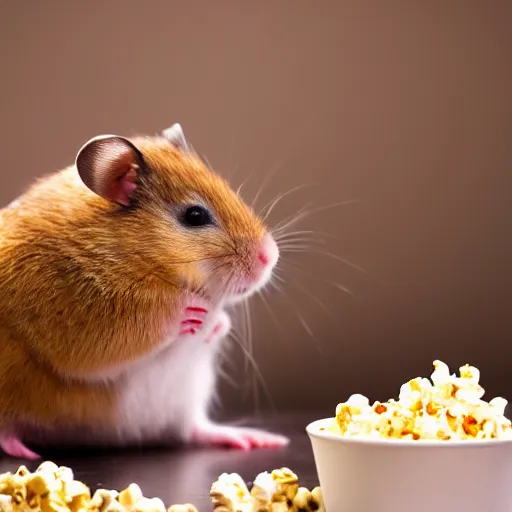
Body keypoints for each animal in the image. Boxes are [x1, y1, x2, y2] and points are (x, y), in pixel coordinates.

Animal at [0, 124, 288, 460]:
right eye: (195, 216)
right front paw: (193, 310)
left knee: (193, 429)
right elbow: (146, 319)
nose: (271, 257)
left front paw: (216, 323)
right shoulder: (79, 311)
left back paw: (253, 438)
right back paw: (22, 450)